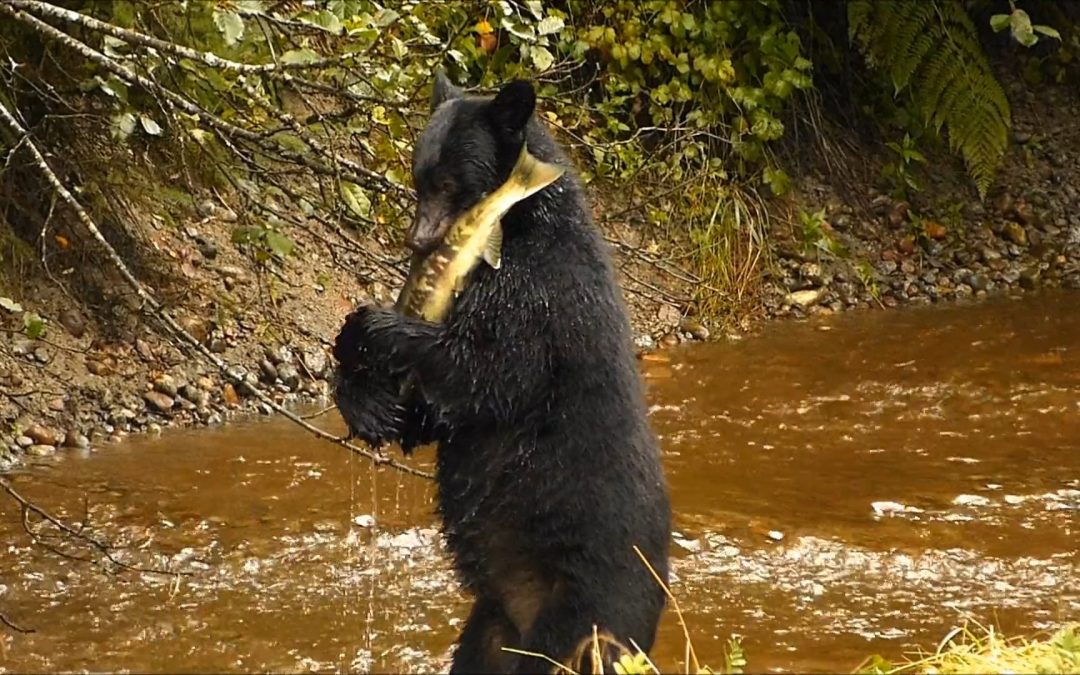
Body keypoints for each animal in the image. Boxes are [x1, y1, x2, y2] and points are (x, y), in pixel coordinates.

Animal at [332, 71, 672, 674]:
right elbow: (436, 416)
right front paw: (368, 403)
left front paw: (372, 324)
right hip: (492, 623)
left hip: (585, 613)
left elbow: (486, 373)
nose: (418, 241)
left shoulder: (540, 295)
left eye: (450, 182)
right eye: (418, 179)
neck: (517, 222)